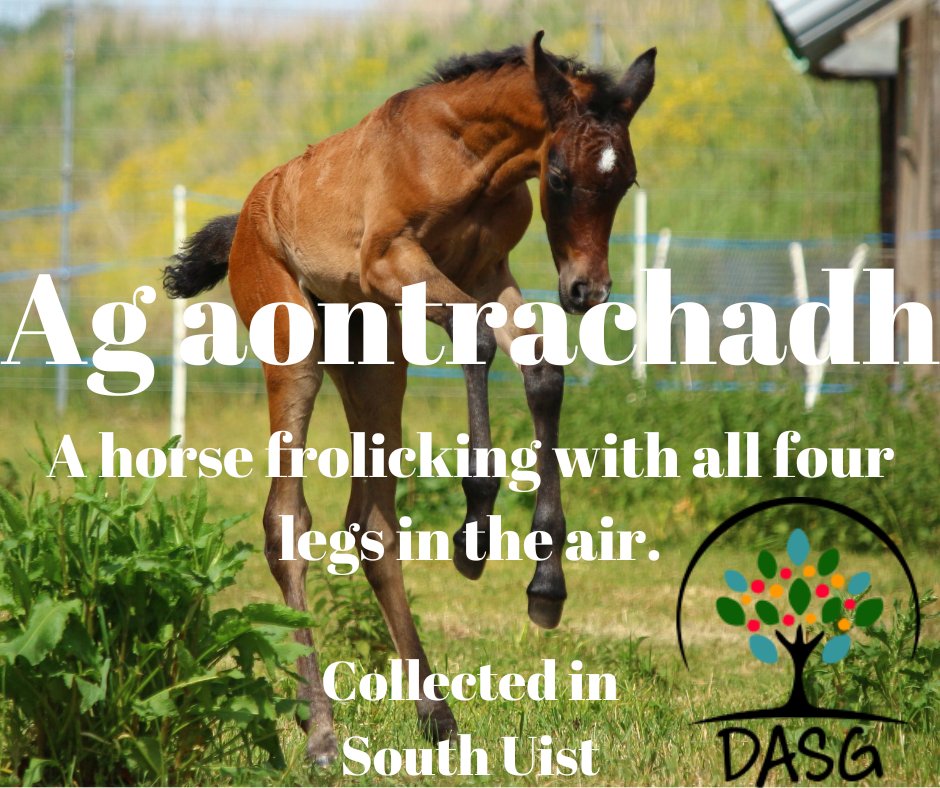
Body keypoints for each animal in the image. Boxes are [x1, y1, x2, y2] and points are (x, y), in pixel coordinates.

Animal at [163, 31, 655, 765]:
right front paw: (475, 530)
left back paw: (436, 715)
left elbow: (541, 369)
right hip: (295, 348)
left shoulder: (485, 270)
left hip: (374, 359)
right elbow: (477, 340)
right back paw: (322, 734)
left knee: (372, 524)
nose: (586, 290)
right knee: (286, 521)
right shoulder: (396, 262)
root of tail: (250, 215)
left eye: (624, 180)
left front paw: (545, 584)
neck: (465, 154)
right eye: (560, 177)